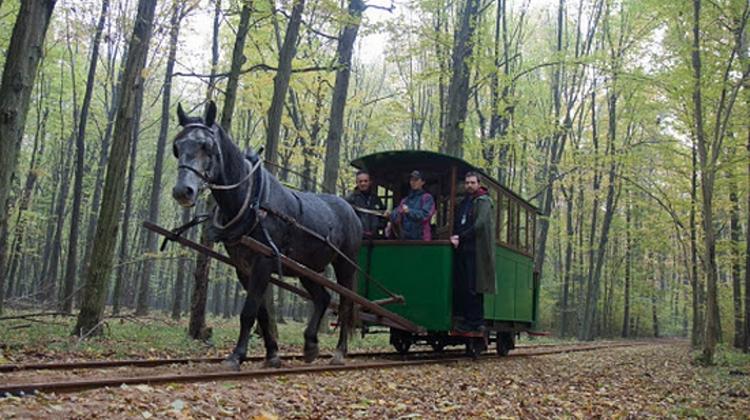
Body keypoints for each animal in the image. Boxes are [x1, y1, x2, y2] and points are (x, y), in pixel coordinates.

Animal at [170, 101, 362, 369]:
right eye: (177, 147)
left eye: (206, 146)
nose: (182, 191)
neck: (251, 200)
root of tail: (350, 209)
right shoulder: (243, 266)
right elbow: (261, 312)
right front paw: (272, 355)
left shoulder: (263, 261)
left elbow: (249, 311)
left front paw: (236, 356)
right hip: (308, 268)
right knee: (322, 298)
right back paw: (310, 345)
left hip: (345, 264)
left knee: (345, 304)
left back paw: (339, 352)